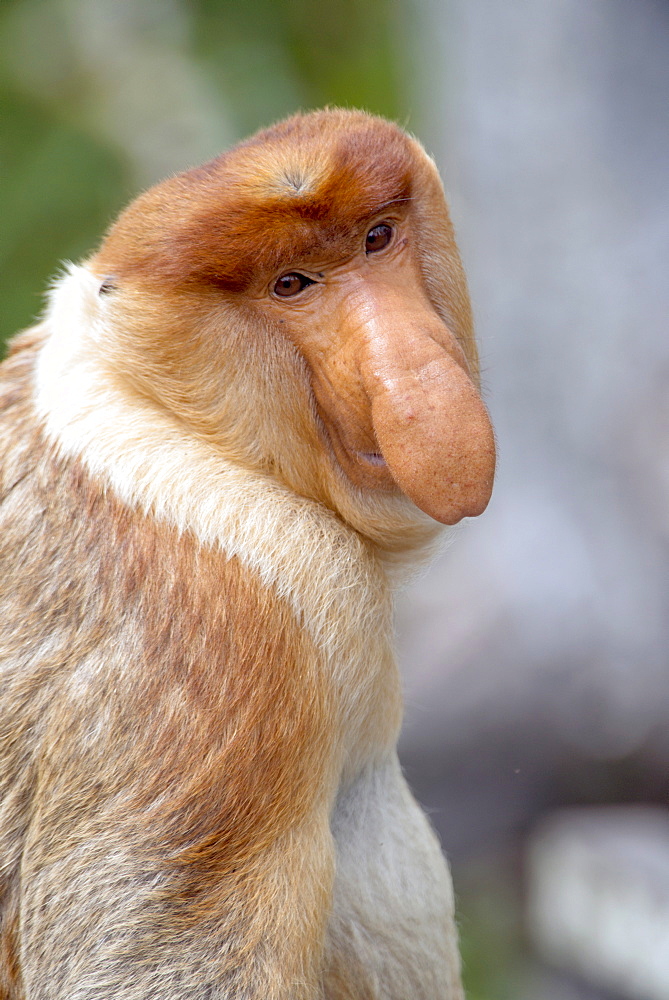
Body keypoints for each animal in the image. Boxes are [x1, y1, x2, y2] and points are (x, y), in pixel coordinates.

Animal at [0, 111, 490, 1000]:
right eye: (291, 285)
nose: (408, 379)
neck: (155, 409)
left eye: (376, 238)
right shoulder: (240, 637)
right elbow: (150, 958)